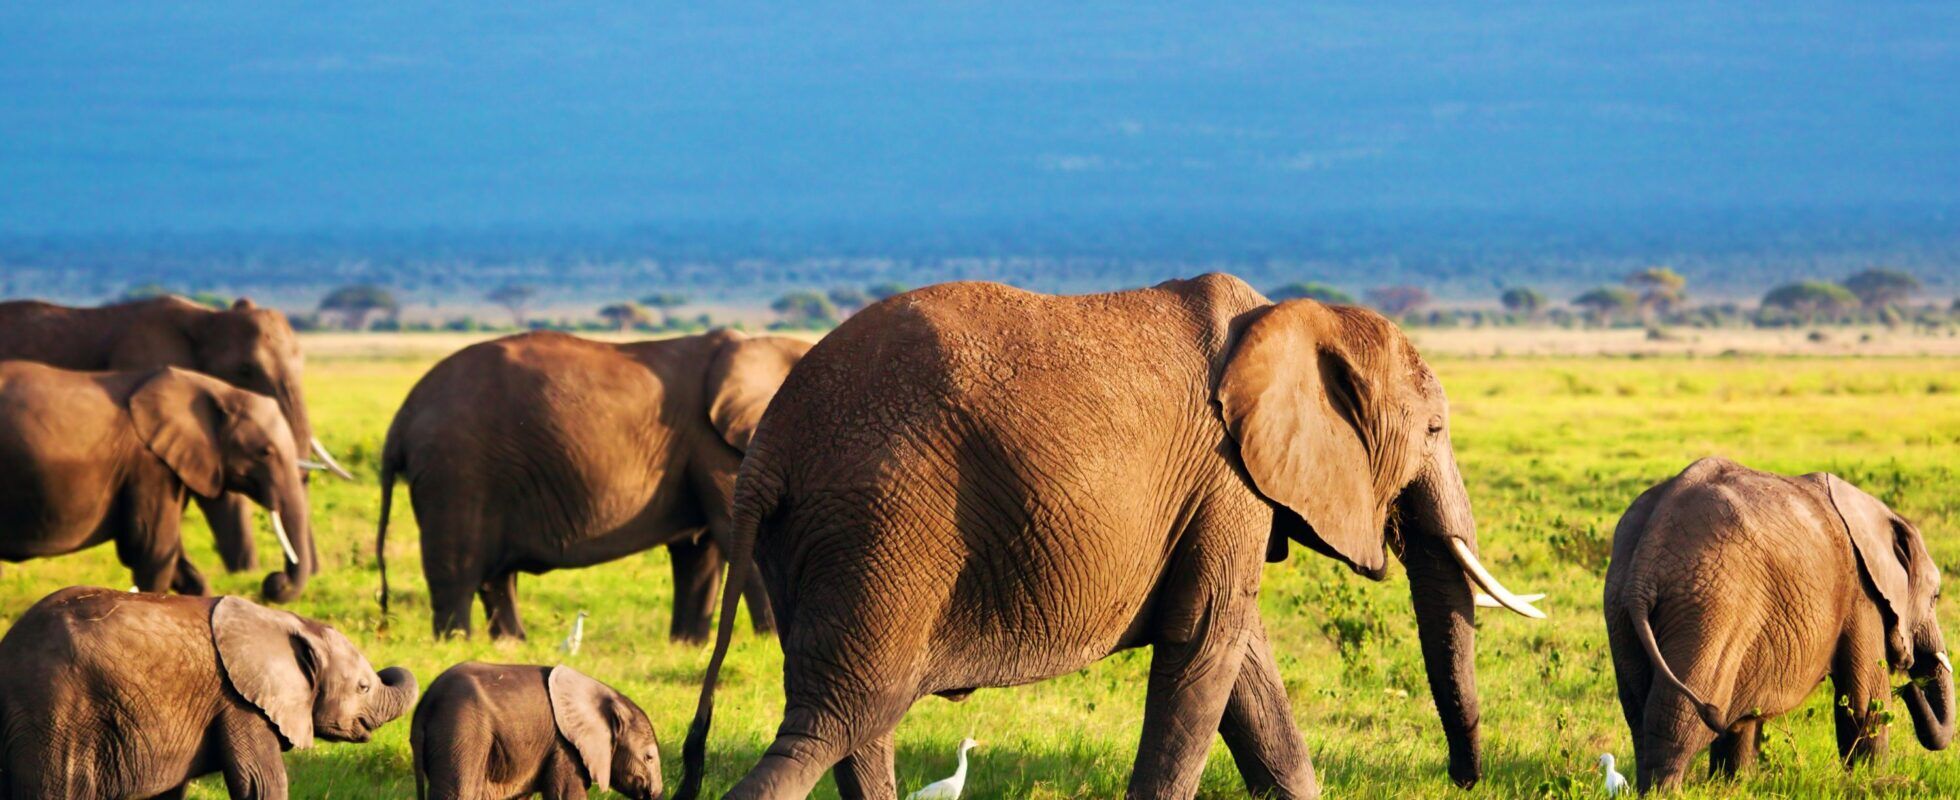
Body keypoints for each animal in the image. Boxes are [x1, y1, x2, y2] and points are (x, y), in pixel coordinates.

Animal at [0, 362, 315, 601]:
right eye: (265, 452)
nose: (275, 582)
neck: (217, 389)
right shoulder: (149, 465)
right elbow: (151, 548)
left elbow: (173, 559)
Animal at [376, 329, 809, 641]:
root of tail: (402, 417)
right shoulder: (720, 447)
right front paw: (773, 643)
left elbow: (697, 553)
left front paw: (686, 646)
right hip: (456, 469)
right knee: (459, 571)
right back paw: (458, 643)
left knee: (495, 577)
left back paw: (511, 644)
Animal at [412, 661, 664, 800]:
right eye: (649, 757)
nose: (654, 792)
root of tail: (425, 704)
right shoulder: (565, 746)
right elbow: (567, 795)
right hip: (461, 728)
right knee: (459, 793)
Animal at [675, 274, 1545, 800]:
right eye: (1434, 430)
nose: (1463, 779)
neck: (1289, 318)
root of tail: (771, 448)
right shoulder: (1227, 479)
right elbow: (1206, 646)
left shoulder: (1216, 495)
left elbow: (1246, 666)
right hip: (882, 531)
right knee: (833, 723)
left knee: (858, 733)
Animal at [1604, 457, 1953, 792]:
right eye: (1936, 597)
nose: (1909, 688)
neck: (1880, 514)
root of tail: (1645, 560)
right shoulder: (1861, 595)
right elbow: (1866, 702)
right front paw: (1870, 781)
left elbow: (1745, 718)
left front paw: (1734, 785)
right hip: (1710, 607)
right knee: (1679, 714)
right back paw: (1664, 790)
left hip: (1624, 612)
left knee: (1639, 710)